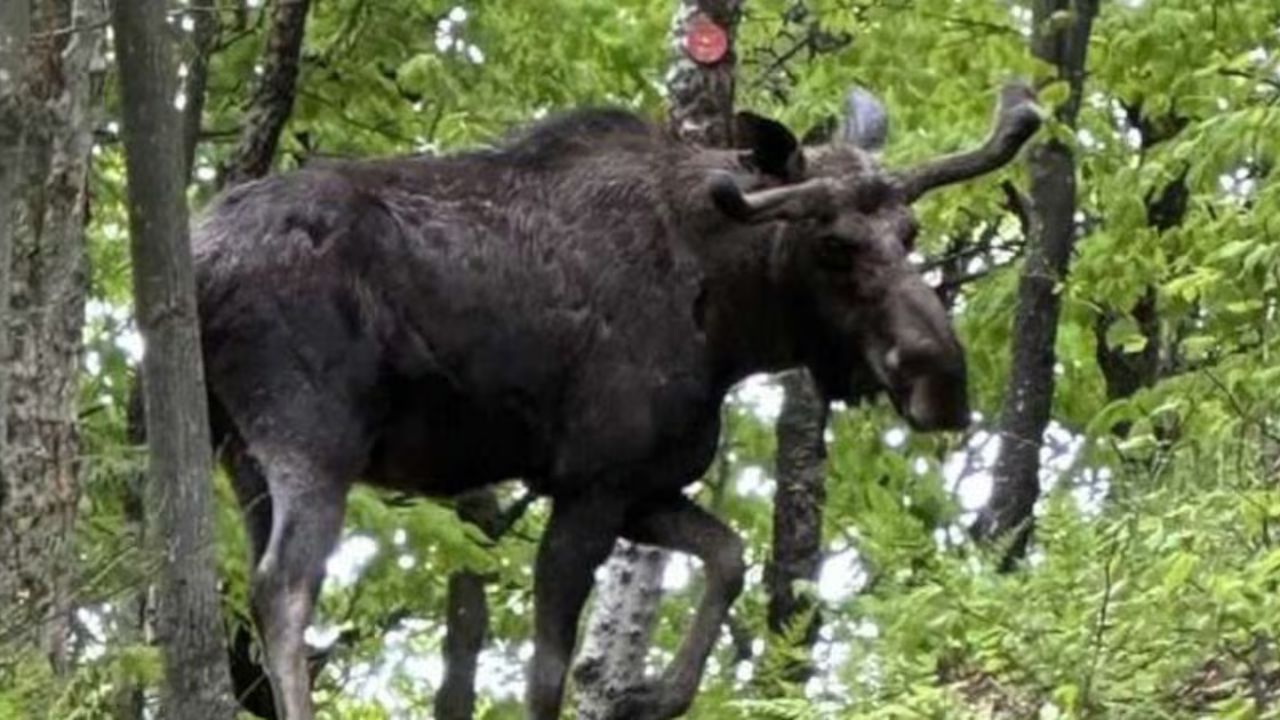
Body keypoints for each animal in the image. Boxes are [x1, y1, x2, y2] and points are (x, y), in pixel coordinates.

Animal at [194, 83, 1041, 719]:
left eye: (910, 229)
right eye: (832, 243)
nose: (942, 379)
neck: (731, 326)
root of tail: (199, 265)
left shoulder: (642, 485)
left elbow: (728, 556)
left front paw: (651, 694)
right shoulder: (591, 483)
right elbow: (547, 671)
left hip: (239, 450)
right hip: (313, 434)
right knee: (283, 585)